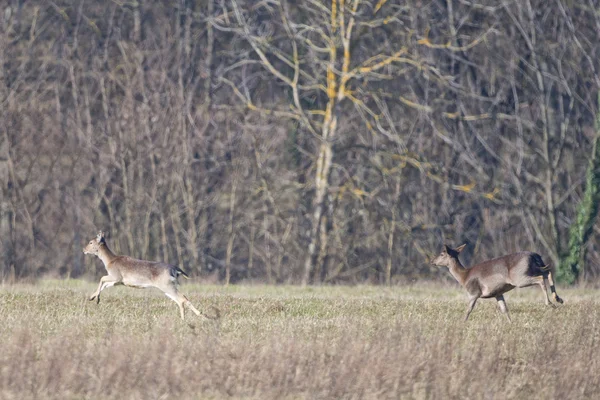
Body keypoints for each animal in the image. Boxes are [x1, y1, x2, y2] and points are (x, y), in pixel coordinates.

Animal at [82, 230, 213, 320]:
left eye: (90, 242)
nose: (83, 249)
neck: (109, 262)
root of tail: (175, 269)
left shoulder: (116, 275)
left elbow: (102, 278)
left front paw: (96, 299)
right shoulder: (118, 281)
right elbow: (105, 284)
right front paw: (93, 297)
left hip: (166, 285)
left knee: (182, 299)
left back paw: (186, 319)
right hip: (168, 286)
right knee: (182, 299)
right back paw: (200, 316)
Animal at [432, 244, 564, 322]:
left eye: (442, 253)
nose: (433, 261)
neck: (464, 277)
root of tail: (534, 255)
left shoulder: (474, 292)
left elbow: (468, 309)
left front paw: (462, 323)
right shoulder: (498, 293)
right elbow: (504, 309)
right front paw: (511, 323)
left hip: (519, 277)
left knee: (541, 278)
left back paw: (550, 303)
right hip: (533, 269)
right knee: (548, 272)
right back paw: (558, 299)